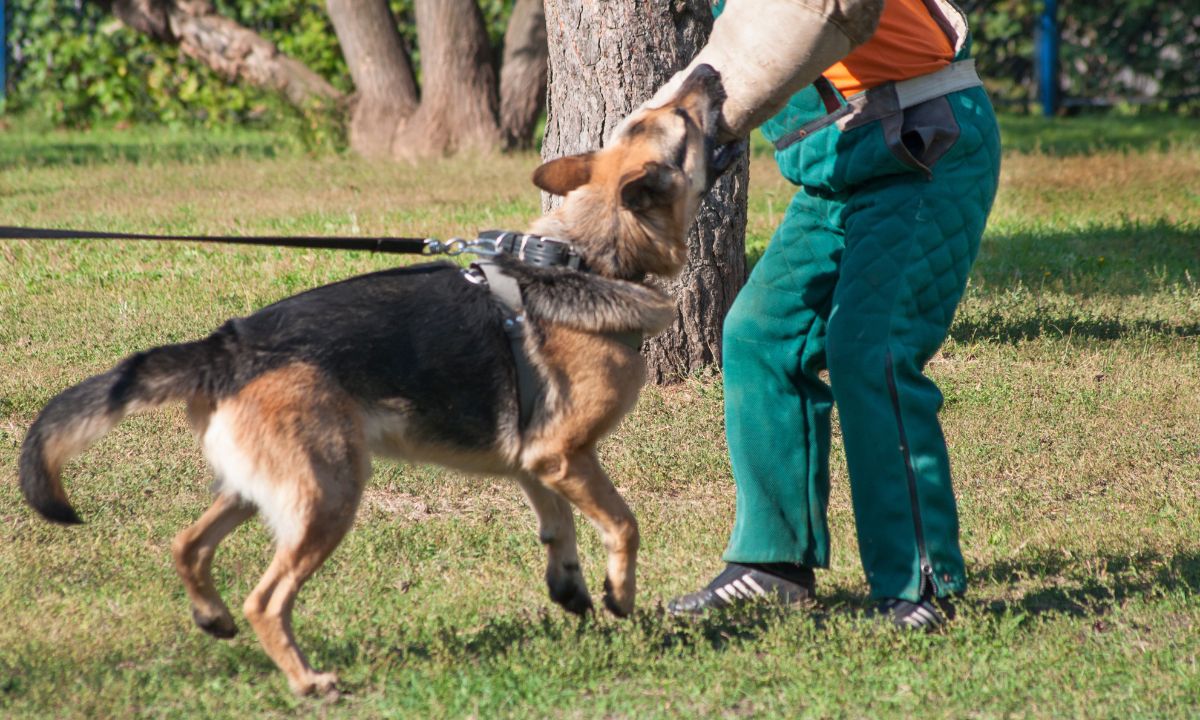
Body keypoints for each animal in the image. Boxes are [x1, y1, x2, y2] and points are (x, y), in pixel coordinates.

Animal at [18, 66, 729, 696]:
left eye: (648, 116)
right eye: (680, 123)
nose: (709, 71)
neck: (585, 255)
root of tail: (227, 346)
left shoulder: (537, 460)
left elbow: (560, 527)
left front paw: (572, 588)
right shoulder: (566, 454)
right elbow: (624, 523)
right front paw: (619, 594)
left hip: (264, 489)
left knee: (187, 546)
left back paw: (211, 618)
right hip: (330, 495)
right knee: (265, 600)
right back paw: (309, 682)